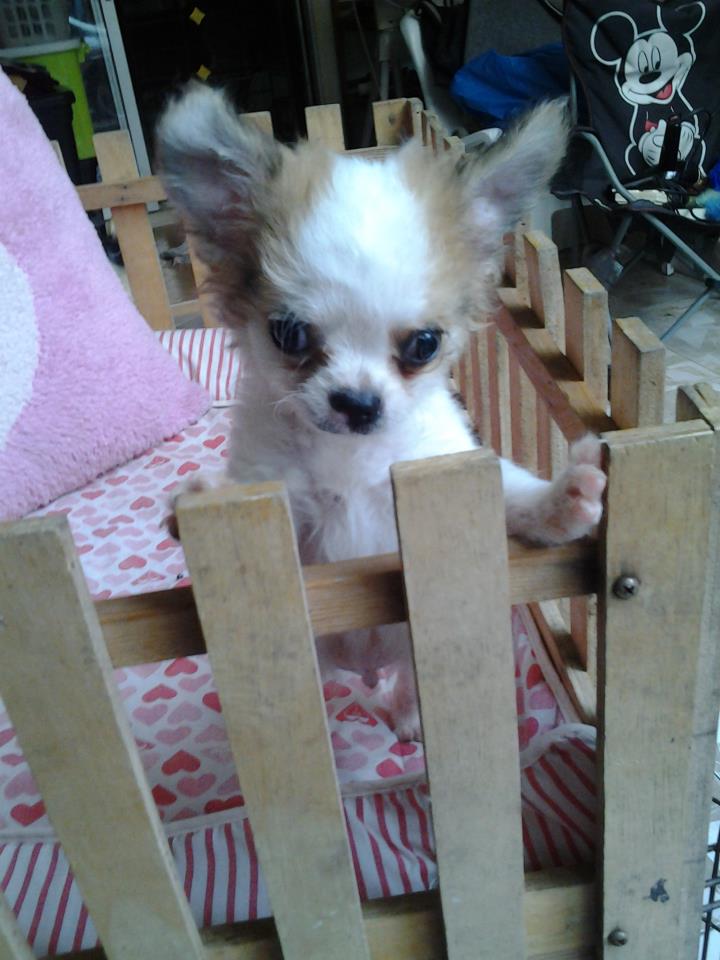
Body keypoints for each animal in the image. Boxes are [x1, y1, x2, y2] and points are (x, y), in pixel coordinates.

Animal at [156, 85, 605, 739]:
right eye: (289, 335)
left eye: (424, 344)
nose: (358, 401)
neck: (355, 460)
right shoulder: (286, 517)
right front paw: (200, 497)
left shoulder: (458, 485)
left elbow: (518, 501)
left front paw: (566, 499)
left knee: (409, 685)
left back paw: (410, 717)